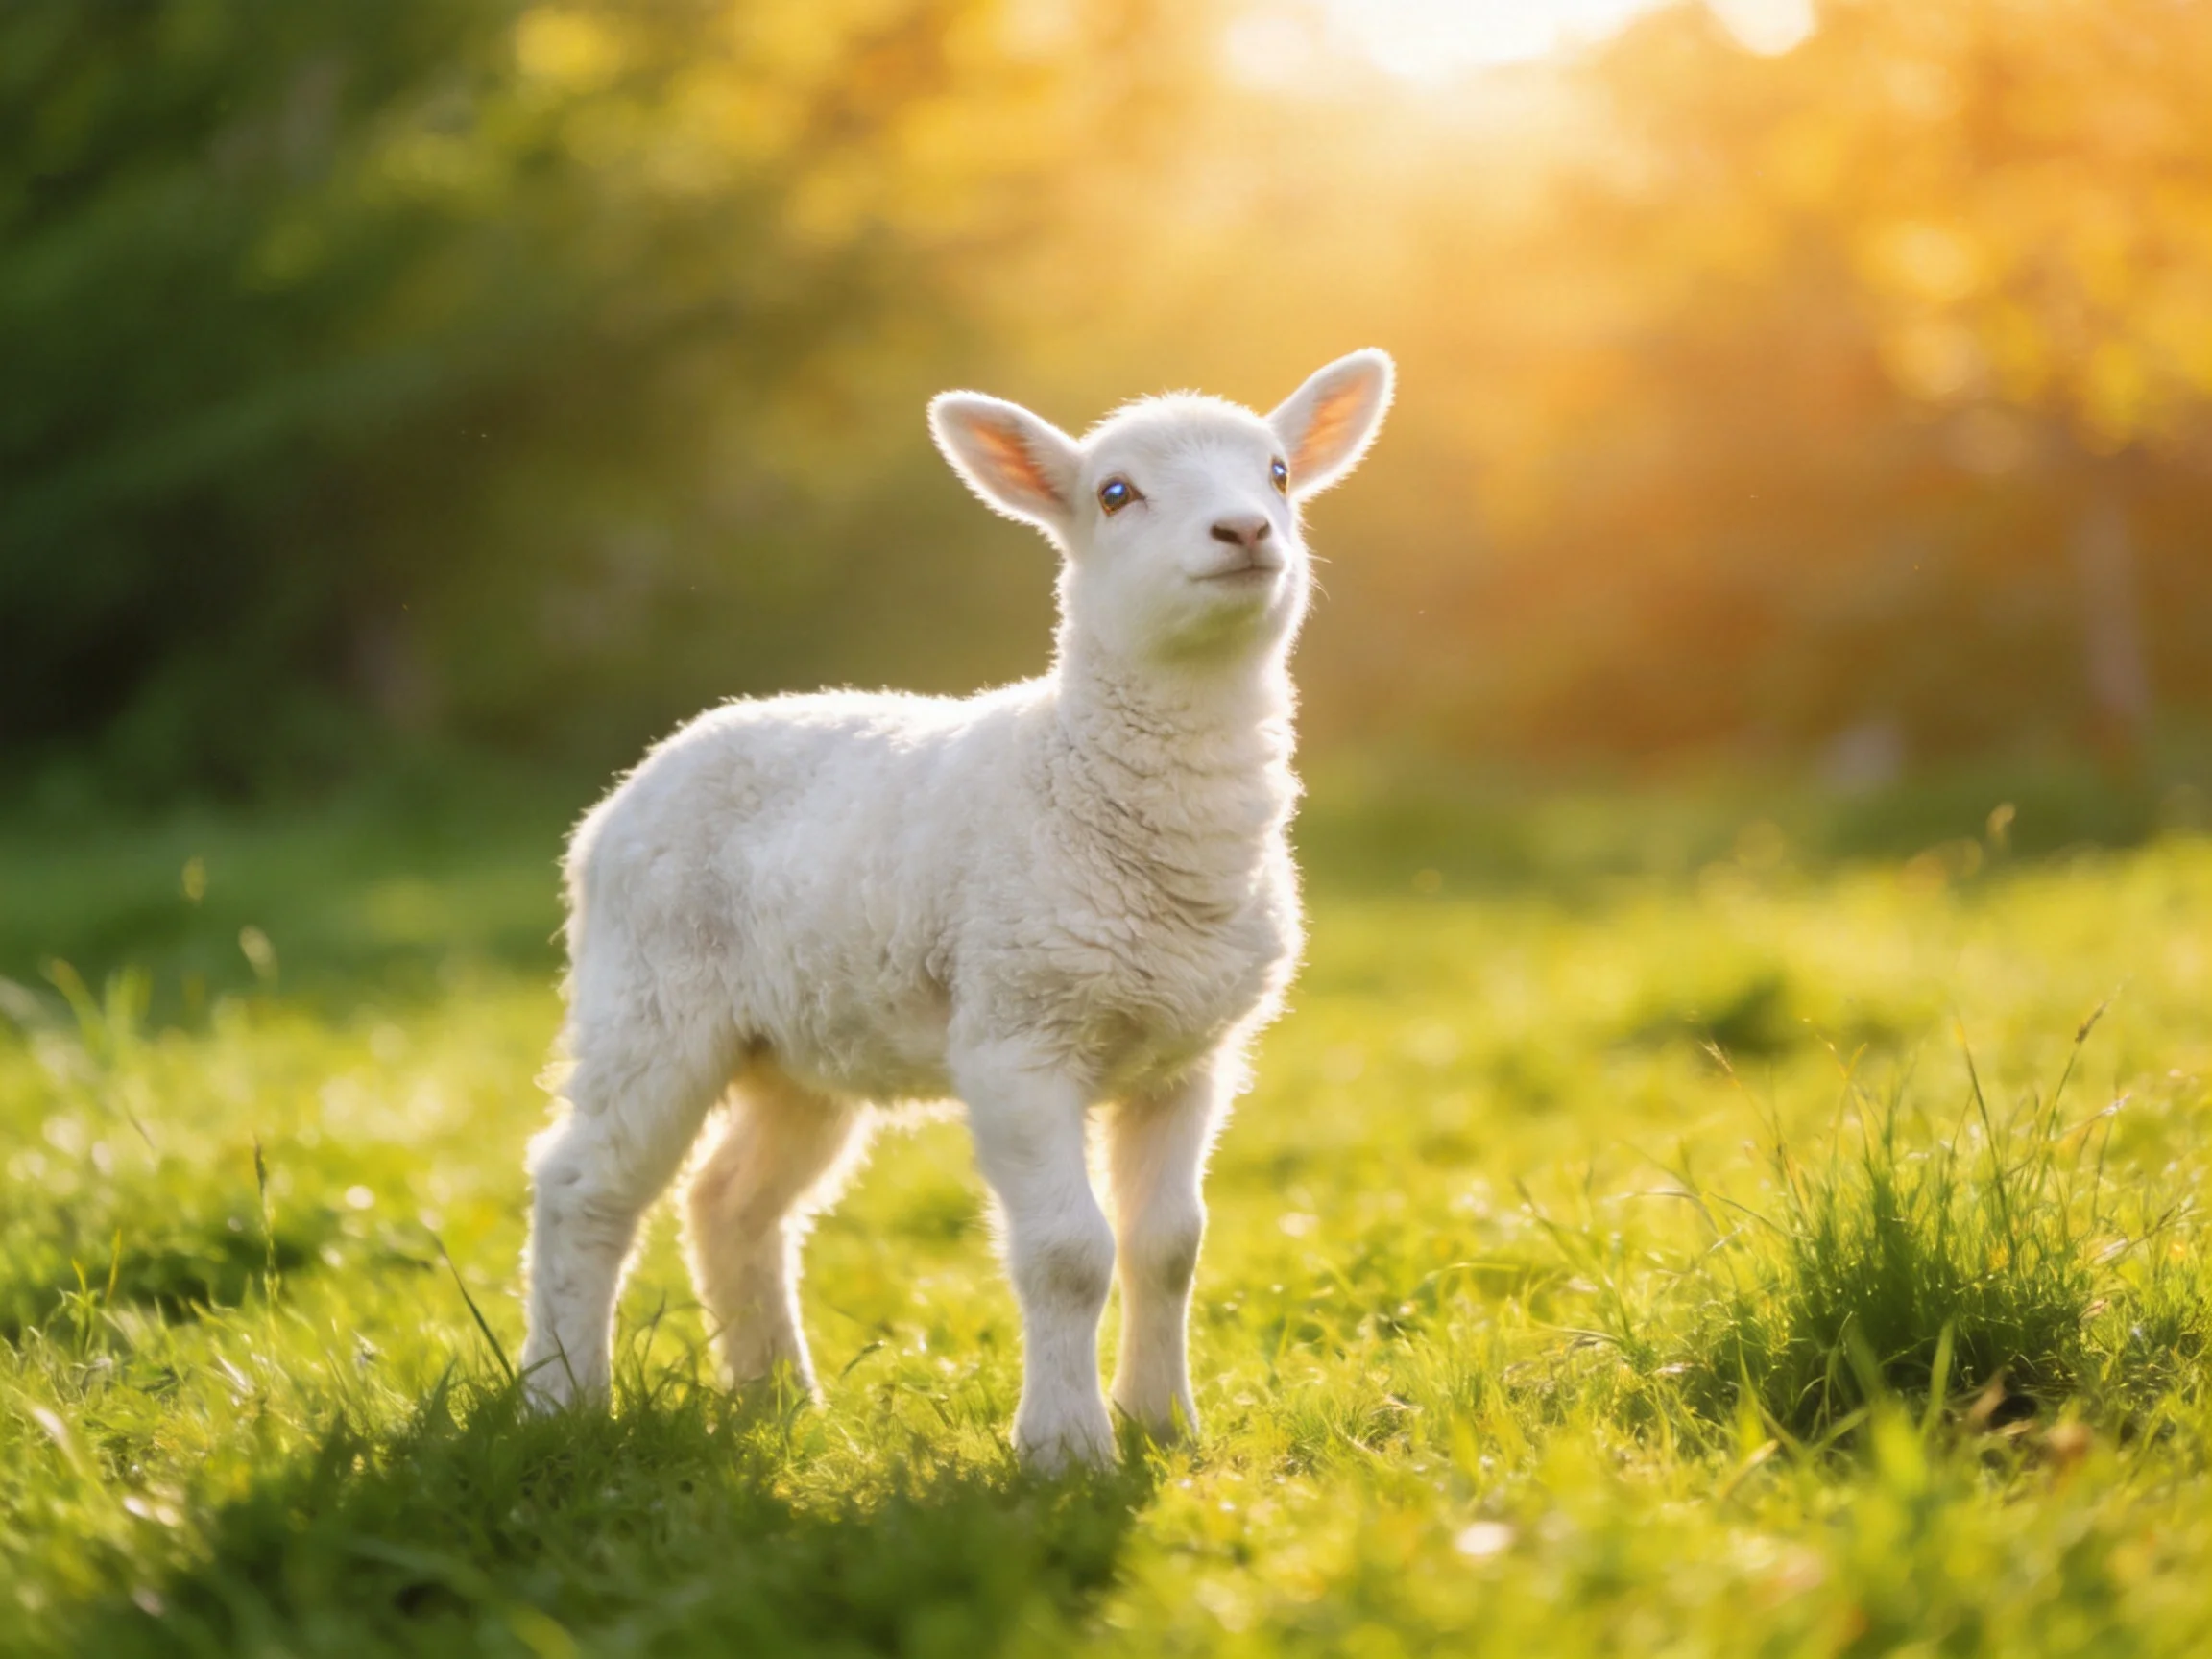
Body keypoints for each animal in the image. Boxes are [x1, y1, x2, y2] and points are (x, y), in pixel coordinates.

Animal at [519, 349, 1395, 1468]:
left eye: (1279, 472)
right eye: (1116, 493)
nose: (1245, 531)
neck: (1091, 787)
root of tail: (637, 777)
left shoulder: (1189, 1057)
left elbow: (1167, 1247)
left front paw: (1162, 1425)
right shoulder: (1018, 1036)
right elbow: (1069, 1251)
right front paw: (1066, 1451)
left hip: (799, 1042)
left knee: (732, 1203)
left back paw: (777, 1402)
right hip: (649, 999)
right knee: (583, 1187)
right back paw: (561, 1400)